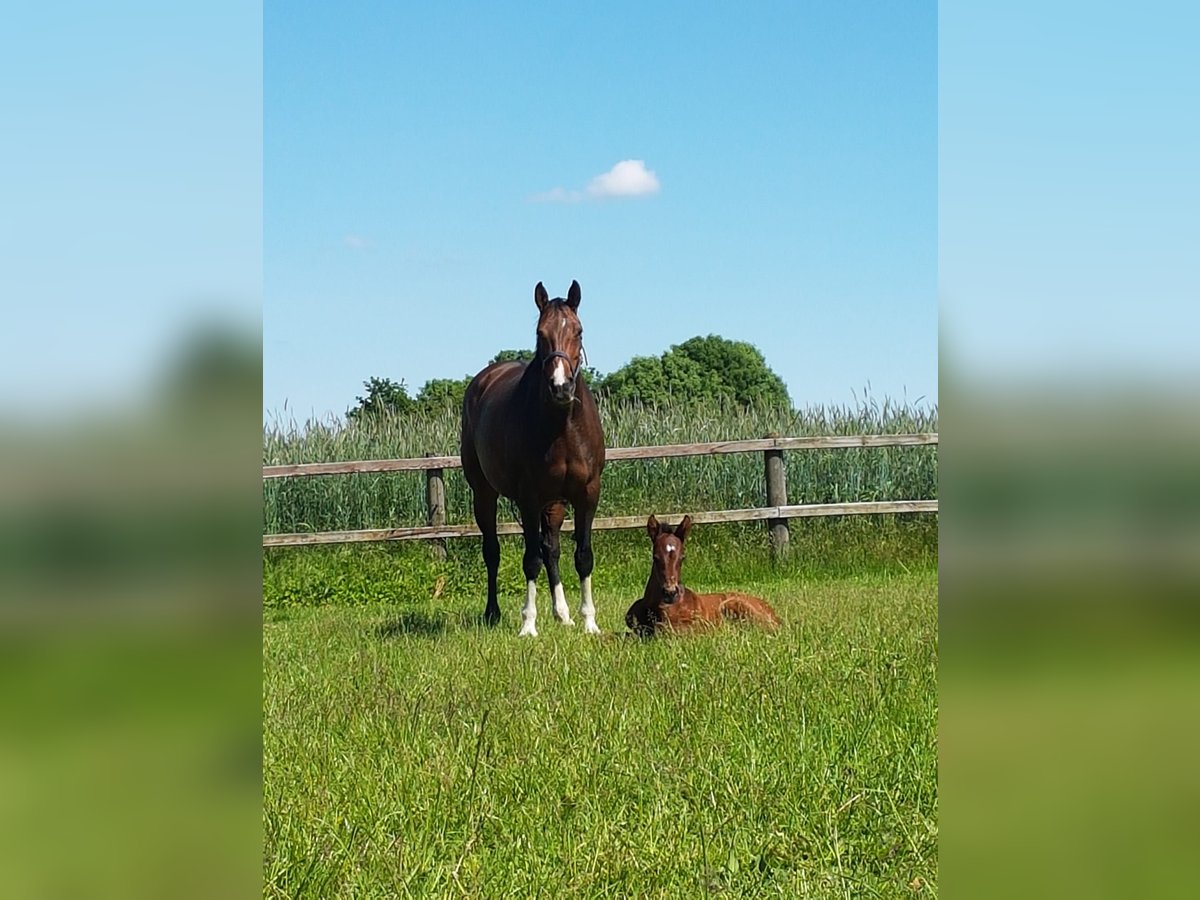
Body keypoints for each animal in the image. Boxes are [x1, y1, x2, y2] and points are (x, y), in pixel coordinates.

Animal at [460, 282, 604, 643]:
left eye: (579, 331)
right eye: (541, 333)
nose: (561, 387)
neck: (562, 426)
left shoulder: (587, 495)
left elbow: (582, 556)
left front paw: (589, 622)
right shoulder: (529, 498)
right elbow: (530, 560)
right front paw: (528, 624)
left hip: (554, 504)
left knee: (551, 548)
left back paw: (562, 614)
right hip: (484, 494)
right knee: (493, 551)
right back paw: (493, 613)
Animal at [624, 518, 782, 638]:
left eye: (682, 558)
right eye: (655, 558)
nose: (670, 593)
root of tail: (774, 615)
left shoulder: (696, 624)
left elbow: (661, 630)